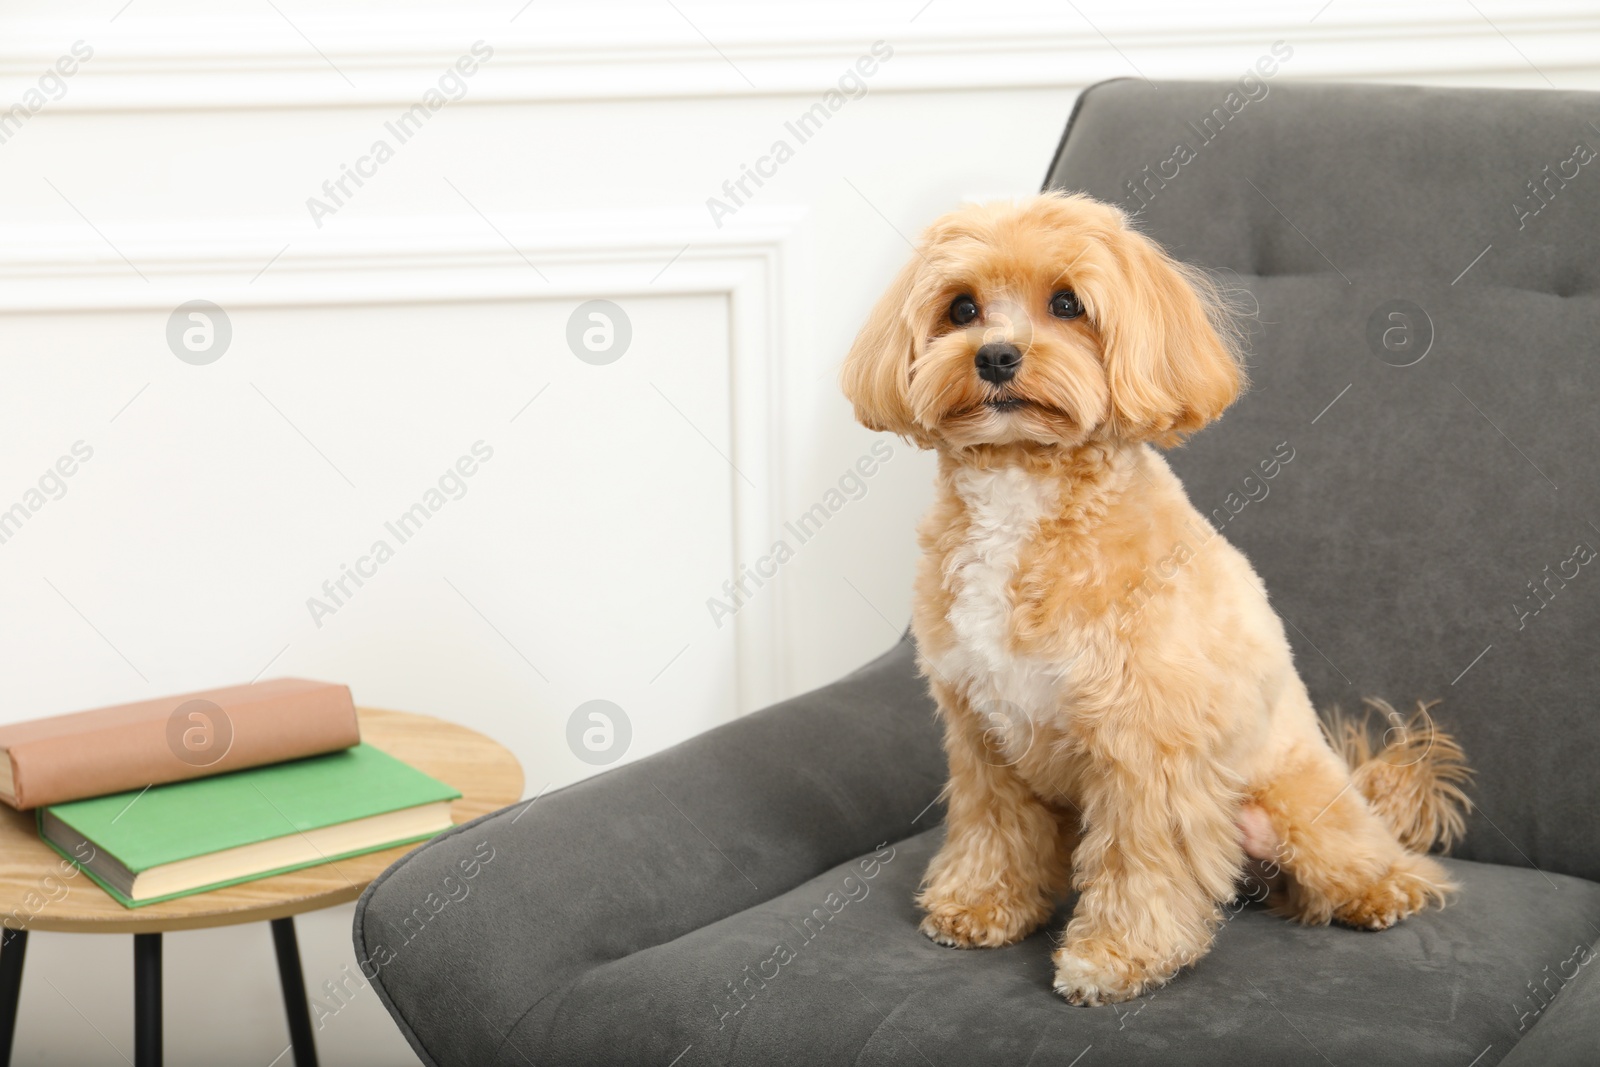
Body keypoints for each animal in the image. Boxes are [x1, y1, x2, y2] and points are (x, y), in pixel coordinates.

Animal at [838, 194, 1472, 1011]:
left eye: (1067, 304)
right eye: (962, 308)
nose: (996, 357)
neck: (1023, 487)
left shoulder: (1145, 746)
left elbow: (1139, 860)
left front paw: (1113, 958)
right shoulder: (983, 737)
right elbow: (993, 826)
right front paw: (980, 904)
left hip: (1298, 802)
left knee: (1378, 863)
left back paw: (1381, 893)